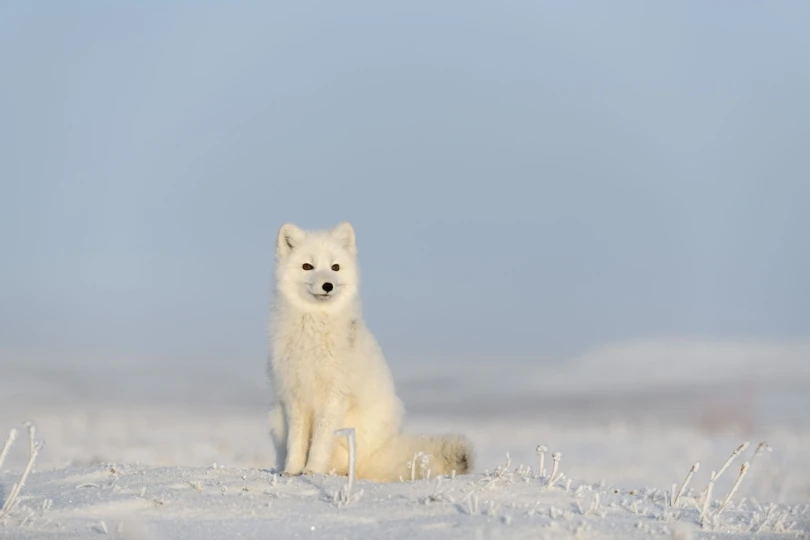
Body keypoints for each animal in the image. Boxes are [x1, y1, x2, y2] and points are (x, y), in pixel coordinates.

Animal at [266, 221, 474, 482]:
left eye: (335, 267)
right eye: (307, 266)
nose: (328, 285)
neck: (314, 333)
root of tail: (381, 453)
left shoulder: (335, 396)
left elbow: (320, 442)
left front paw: (312, 470)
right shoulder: (294, 396)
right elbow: (296, 442)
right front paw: (292, 471)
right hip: (275, 417)